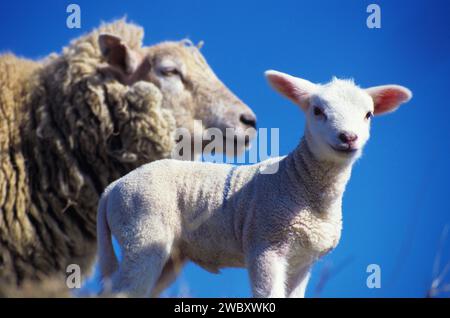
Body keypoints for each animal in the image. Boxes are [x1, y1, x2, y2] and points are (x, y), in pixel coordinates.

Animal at [95, 70, 412, 298]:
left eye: (368, 115)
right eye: (317, 111)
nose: (348, 138)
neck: (298, 181)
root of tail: (112, 189)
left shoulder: (302, 261)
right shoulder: (265, 245)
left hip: (169, 252)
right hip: (142, 231)